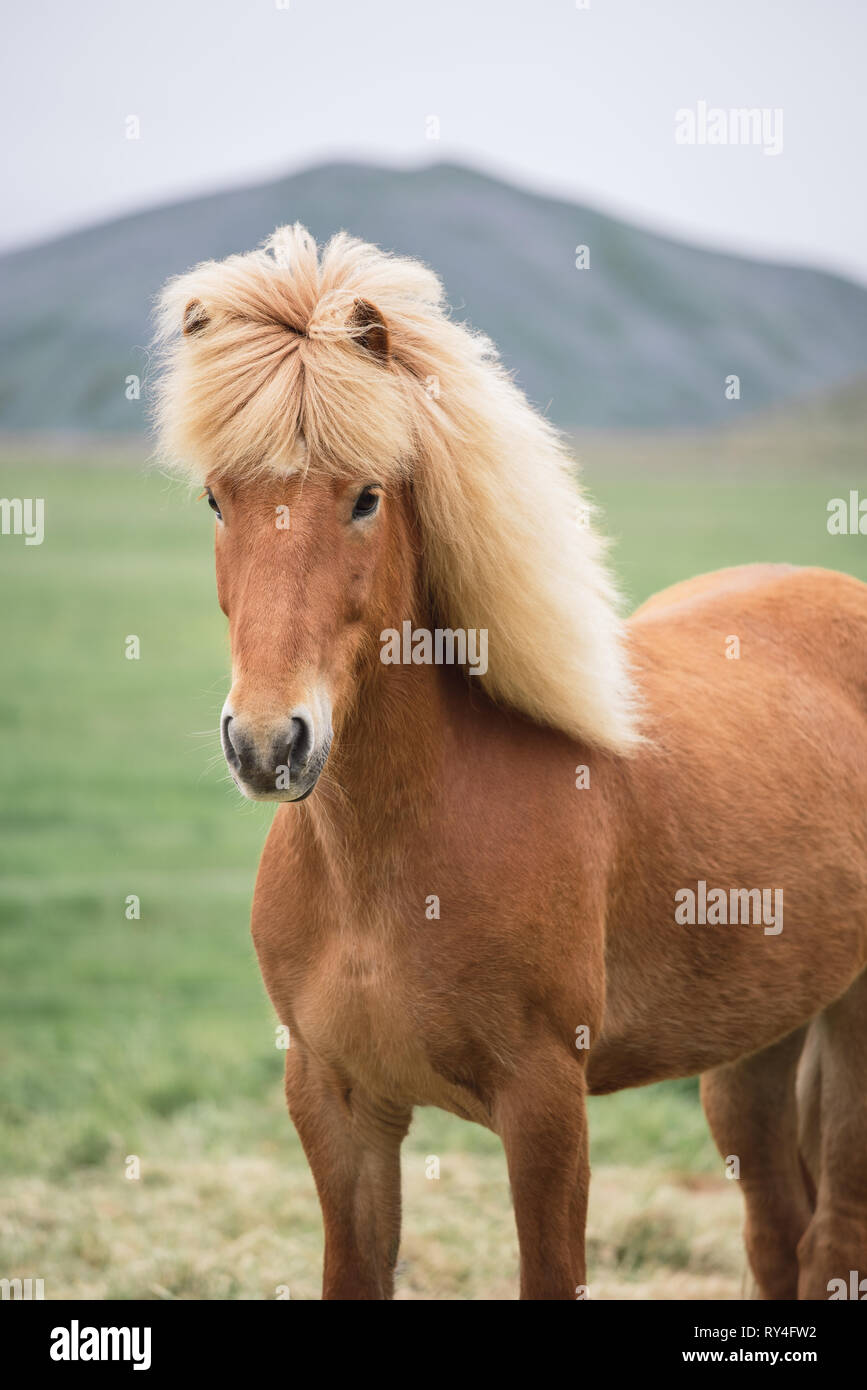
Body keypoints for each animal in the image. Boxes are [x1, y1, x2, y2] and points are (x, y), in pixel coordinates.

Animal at [154, 222, 867, 1295]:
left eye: (365, 498)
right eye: (215, 499)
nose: (270, 744)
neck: (388, 862)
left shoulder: (544, 1111)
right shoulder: (338, 1107)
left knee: (832, 1243)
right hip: (754, 1045)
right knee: (778, 1235)